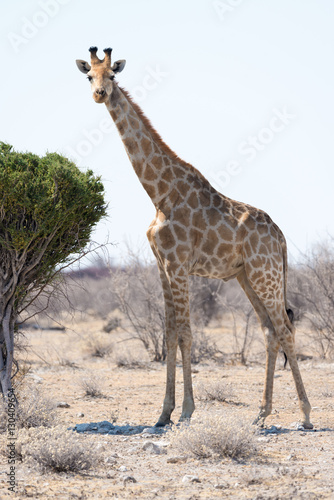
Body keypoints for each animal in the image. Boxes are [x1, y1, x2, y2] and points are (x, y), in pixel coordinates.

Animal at [76, 47, 314, 430]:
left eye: (112, 75)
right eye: (89, 76)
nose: (99, 94)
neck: (160, 194)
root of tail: (280, 237)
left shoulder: (178, 264)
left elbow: (186, 334)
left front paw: (187, 410)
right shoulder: (162, 265)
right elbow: (170, 333)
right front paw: (163, 413)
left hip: (266, 274)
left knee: (286, 328)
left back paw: (305, 414)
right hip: (248, 276)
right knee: (269, 330)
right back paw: (261, 413)